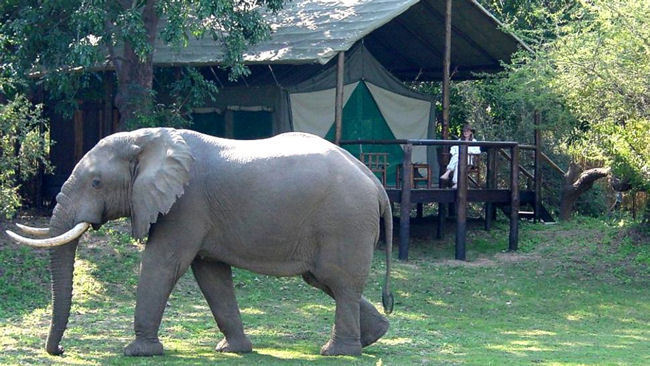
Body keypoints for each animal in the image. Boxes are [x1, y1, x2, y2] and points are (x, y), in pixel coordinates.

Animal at [6, 128, 390, 358]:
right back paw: (373, 336)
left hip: (345, 221)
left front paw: (137, 352)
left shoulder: (186, 204)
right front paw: (232, 350)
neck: (148, 139)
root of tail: (374, 181)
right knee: (324, 280)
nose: (60, 352)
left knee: (338, 281)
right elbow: (210, 274)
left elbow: (163, 263)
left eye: (97, 183)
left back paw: (338, 352)